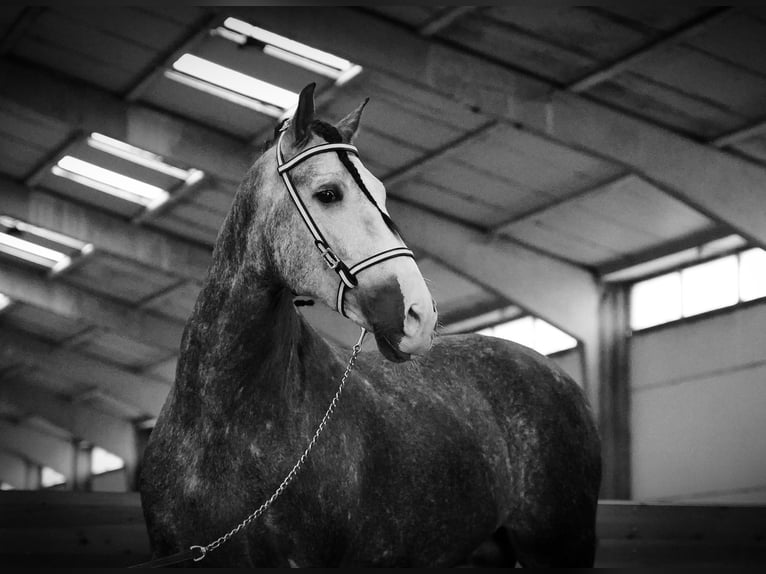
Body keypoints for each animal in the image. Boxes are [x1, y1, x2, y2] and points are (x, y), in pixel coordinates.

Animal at [138, 83, 602, 568]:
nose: (420, 314)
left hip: (561, 545)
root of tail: (556, 374)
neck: (221, 428)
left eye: (380, 191)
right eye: (328, 193)